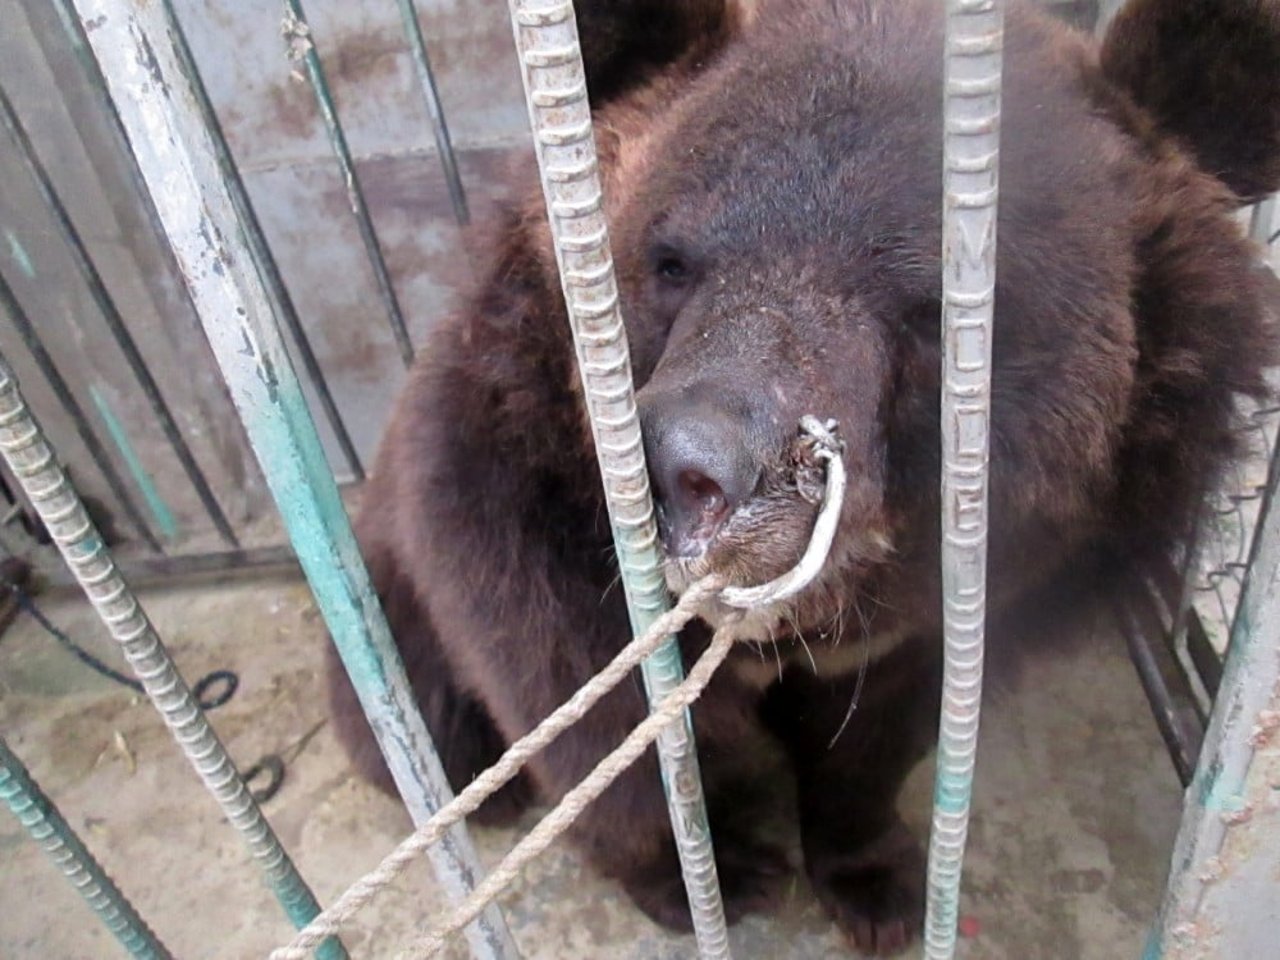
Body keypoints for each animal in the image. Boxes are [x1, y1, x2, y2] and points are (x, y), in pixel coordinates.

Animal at [327, 0, 1280, 957]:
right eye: (671, 260)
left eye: (944, 315)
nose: (683, 467)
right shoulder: (516, 478)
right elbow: (584, 702)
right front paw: (713, 868)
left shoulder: (971, 599)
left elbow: (883, 729)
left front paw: (878, 883)